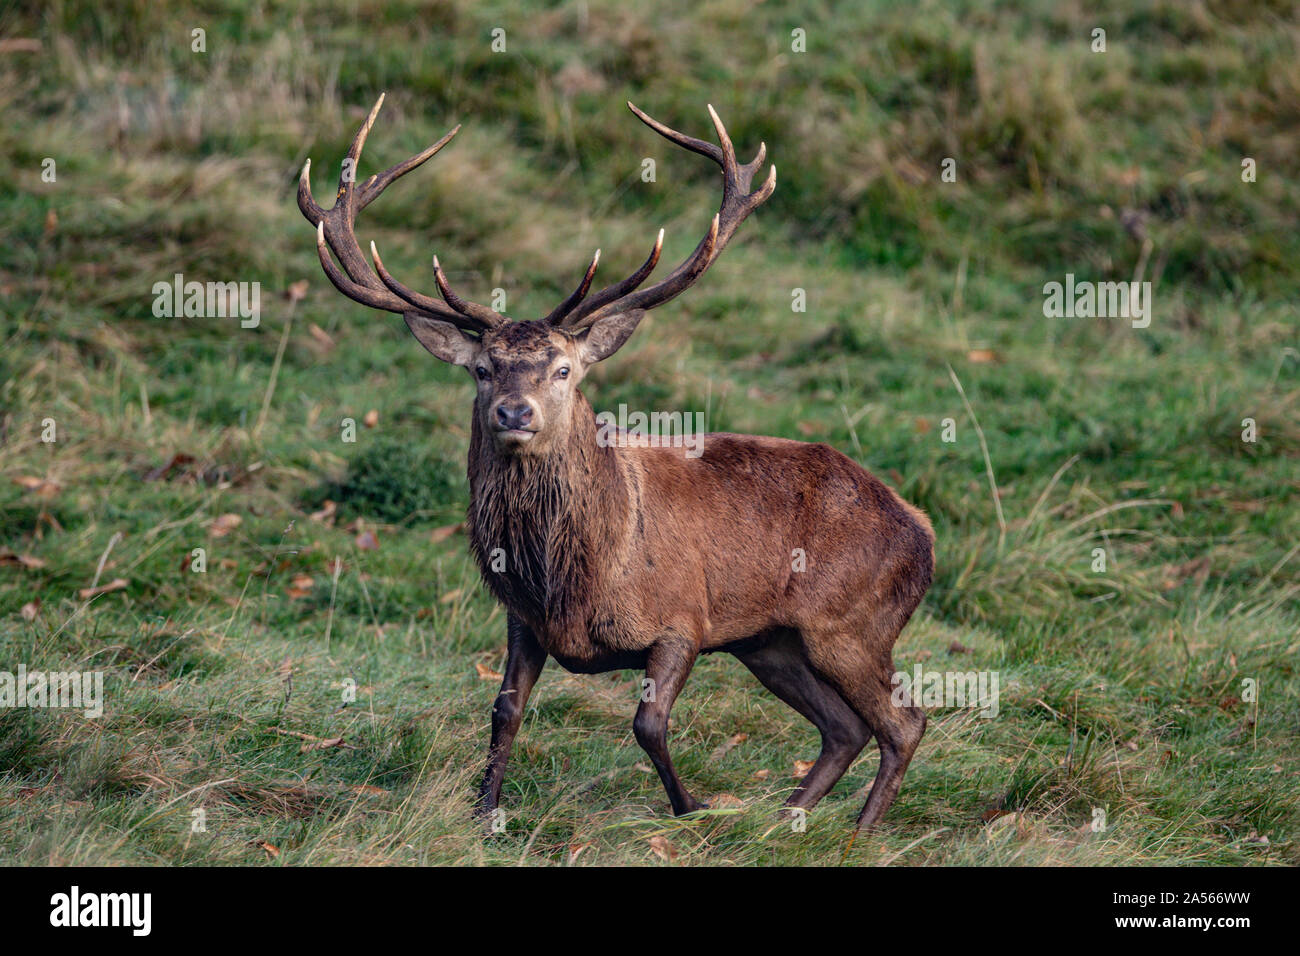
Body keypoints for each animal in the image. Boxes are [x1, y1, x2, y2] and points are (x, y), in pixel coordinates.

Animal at [299, 95, 935, 834]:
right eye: (482, 369)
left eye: (564, 370)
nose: (513, 412)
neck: (574, 579)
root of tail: (922, 531)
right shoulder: (525, 621)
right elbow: (504, 710)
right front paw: (484, 812)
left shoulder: (684, 619)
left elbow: (647, 723)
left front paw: (692, 806)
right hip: (771, 642)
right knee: (844, 728)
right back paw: (785, 819)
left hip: (852, 624)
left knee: (904, 723)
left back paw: (857, 834)